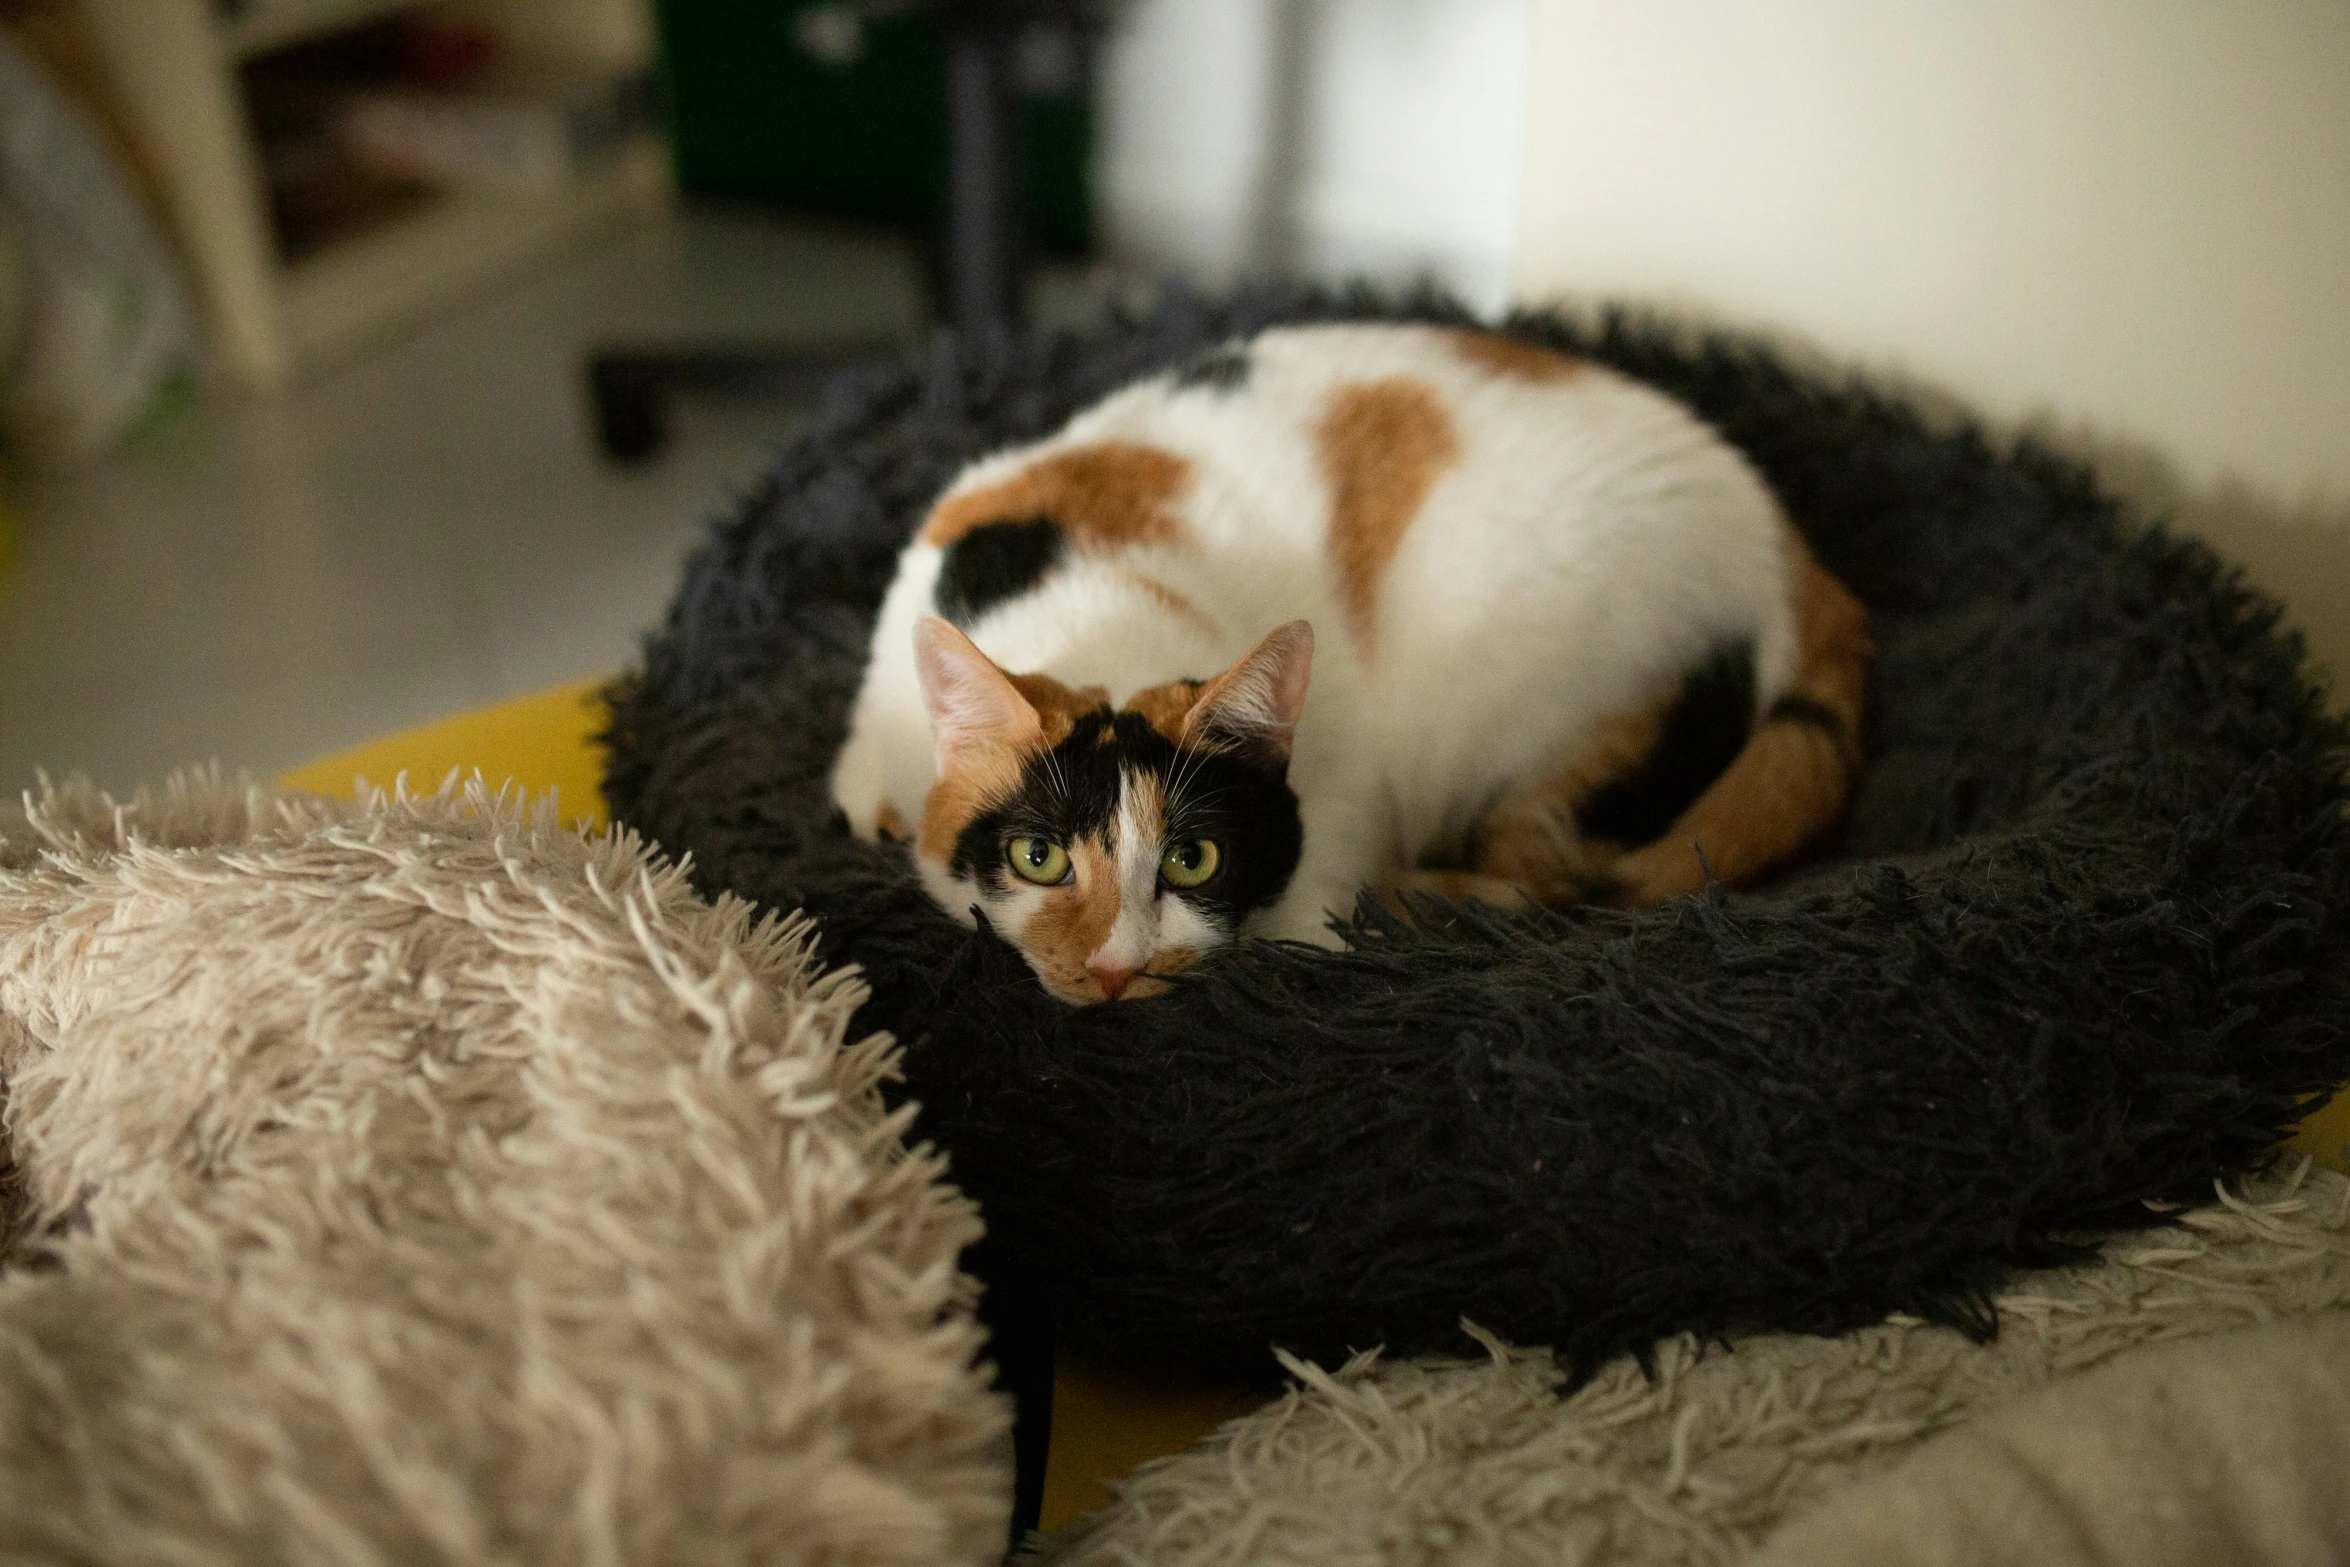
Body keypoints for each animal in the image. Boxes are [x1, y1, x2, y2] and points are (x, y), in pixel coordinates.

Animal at [827, 321, 1870, 1005]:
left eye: (1194, 857)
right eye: (1038, 859)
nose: (1119, 968)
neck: (1107, 607)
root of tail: (1792, 557)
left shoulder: (1350, 796)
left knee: (1543, 874)